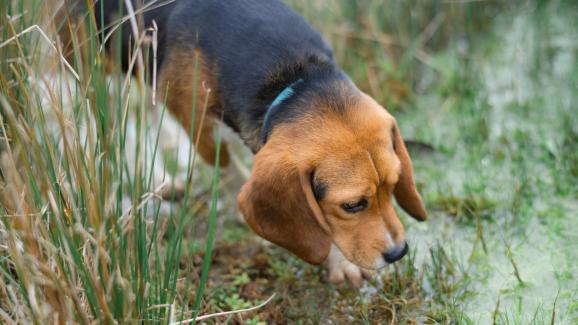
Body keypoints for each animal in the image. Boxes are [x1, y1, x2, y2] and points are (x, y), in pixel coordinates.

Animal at [60, 0, 426, 284]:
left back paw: (162, 177)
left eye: (393, 186)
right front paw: (337, 259)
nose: (398, 252)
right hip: (93, 67)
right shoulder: (198, 125)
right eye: (352, 205)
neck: (294, 79)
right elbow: (230, 171)